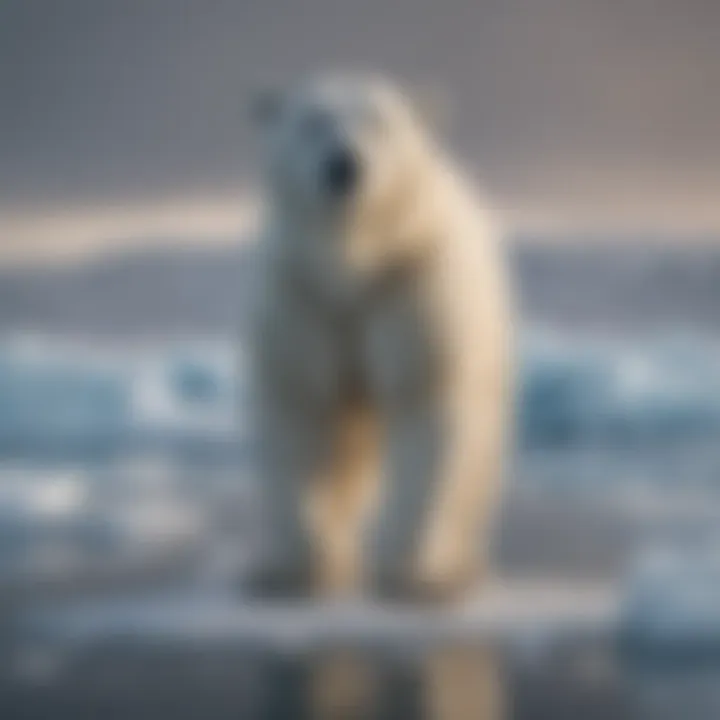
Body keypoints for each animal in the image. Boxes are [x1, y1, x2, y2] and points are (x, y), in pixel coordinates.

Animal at [246, 73, 512, 604]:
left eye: (380, 121)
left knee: (477, 457)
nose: (343, 165)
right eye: (312, 121)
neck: (354, 262)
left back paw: (459, 564)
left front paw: (410, 571)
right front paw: (298, 569)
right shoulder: (304, 301)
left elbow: (426, 409)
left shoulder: (411, 285)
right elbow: (303, 415)